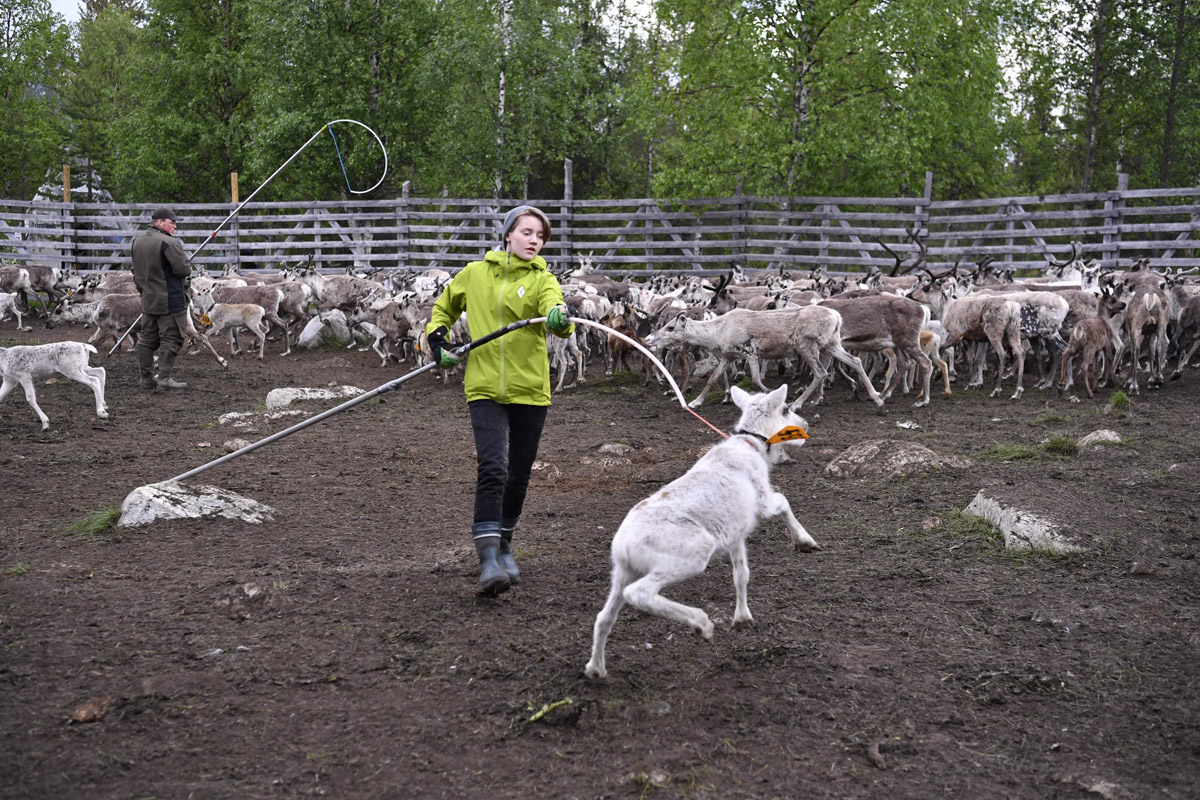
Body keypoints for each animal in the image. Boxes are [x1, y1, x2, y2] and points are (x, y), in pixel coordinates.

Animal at [583, 384, 819, 680]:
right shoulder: (764, 503)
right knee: (639, 594)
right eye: (786, 409)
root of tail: (623, 547)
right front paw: (805, 542)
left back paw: (596, 668)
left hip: (623, 572)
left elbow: (741, 574)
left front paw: (742, 619)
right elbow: (784, 502)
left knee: (604, 617)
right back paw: (701, 624)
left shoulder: (735, 534)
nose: (806, 425)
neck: (752, 445)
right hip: (689, 556)